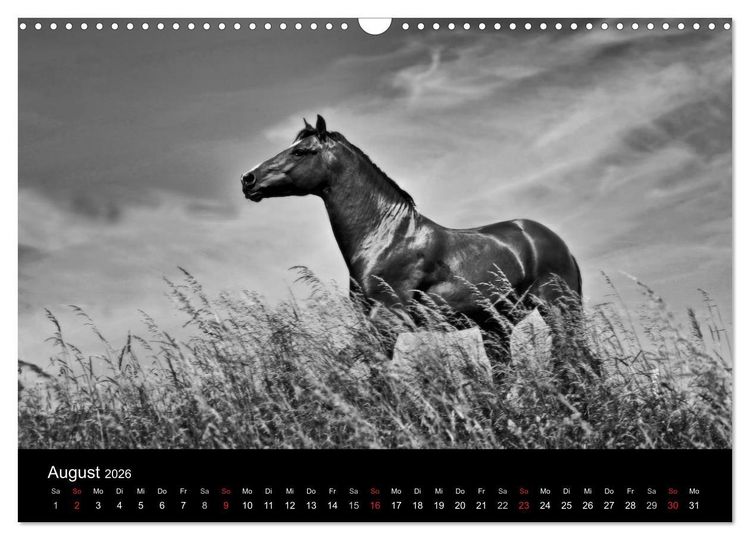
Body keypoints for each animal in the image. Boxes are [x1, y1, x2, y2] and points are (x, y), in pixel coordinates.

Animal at [241, 115, 599, 383]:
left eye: (301, 151)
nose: (248, 179)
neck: (386, 237)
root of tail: (555, 242)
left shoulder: (387, 319)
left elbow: (342, 366)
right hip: (497, 326)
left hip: (559, 310)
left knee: (577, 362)